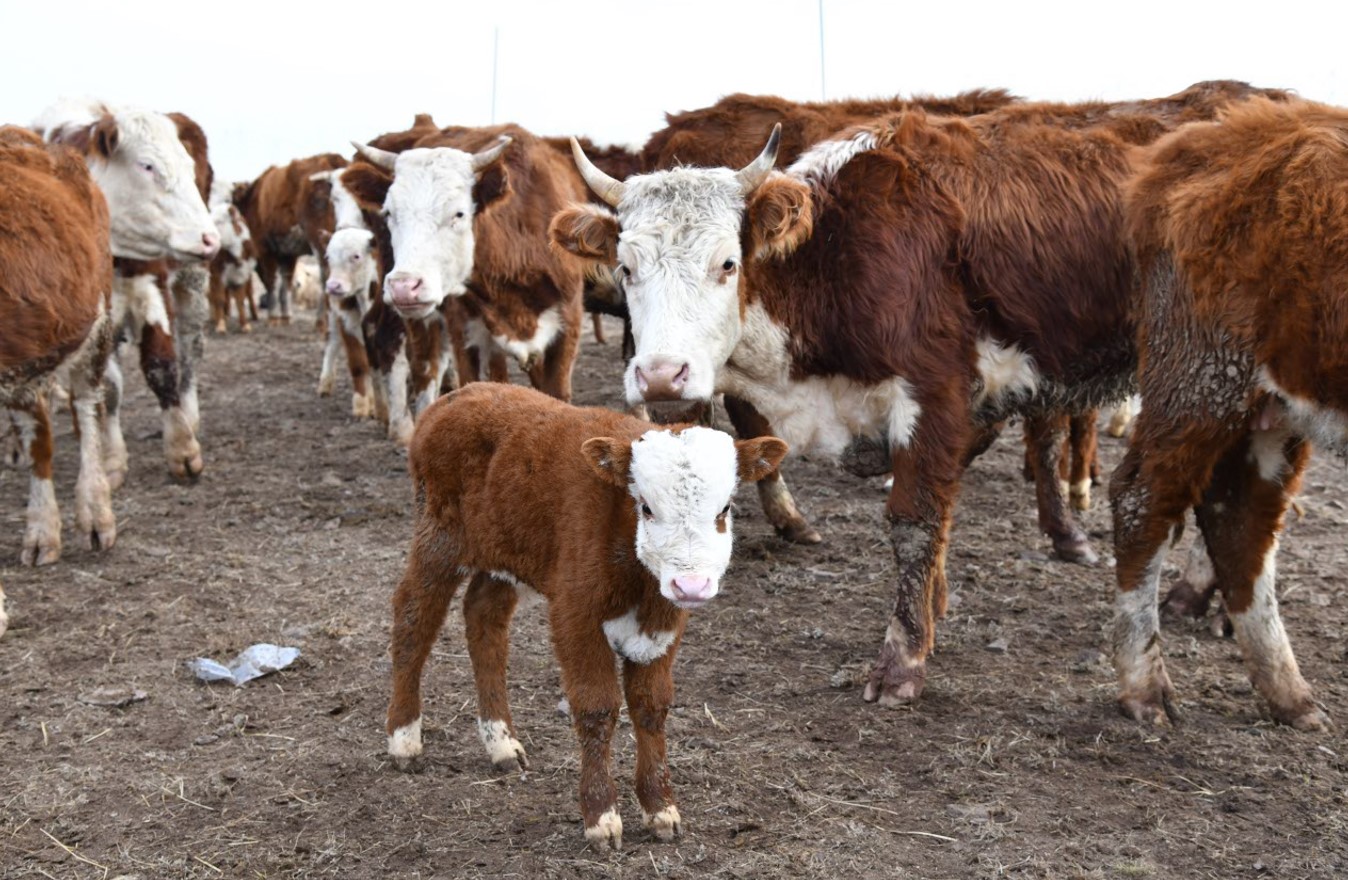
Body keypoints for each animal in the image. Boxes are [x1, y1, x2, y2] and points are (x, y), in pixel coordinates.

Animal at [385, 380, 787, 846]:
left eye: (724, 509)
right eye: (646, 507)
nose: (691, 585)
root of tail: (458, 396)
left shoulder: (664, 624)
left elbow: (651, 704)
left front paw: (660, 808)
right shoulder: (575, 612)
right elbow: (597, 708)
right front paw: (601, 816)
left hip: (507, 553)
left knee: (484, 618)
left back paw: (501, 742)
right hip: (439, 537)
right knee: (413, 619)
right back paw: (404, 739)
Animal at [1110, 96, 1342, 733]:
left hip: (1275, 410)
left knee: (1240, 521)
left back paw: (1289, 695)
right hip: (1201, 382)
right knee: (1143, 501)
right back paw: (1145, 687)